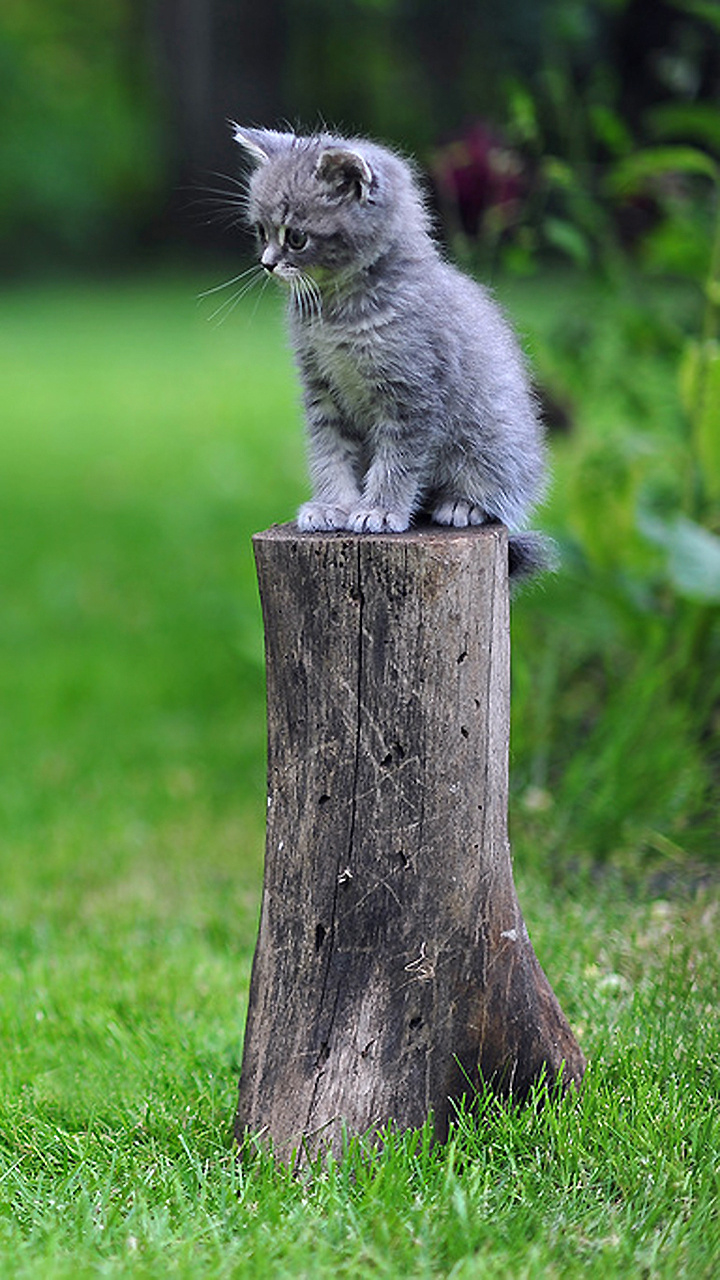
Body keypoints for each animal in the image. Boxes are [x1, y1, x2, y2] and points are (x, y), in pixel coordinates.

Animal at [234, 126, 548, 581]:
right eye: (261, 231)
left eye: (295, 237)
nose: (267, 263)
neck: (337, 313)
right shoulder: (321, 390)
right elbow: (330, 451)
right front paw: (333, 505)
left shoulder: (412, 393)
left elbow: (397, 461)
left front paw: (380, 511)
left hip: (495, 436)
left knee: (503, 488)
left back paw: (463, 504)